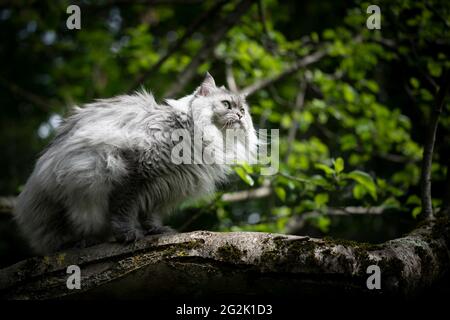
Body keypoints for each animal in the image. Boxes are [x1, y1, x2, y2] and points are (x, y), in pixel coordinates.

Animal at [14, 74, 258, 254]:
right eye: (226, 104)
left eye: (242, 111)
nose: (239, 116)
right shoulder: (135, 173)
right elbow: (125, 209)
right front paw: (128, 233)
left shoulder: (162, 188)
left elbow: (150, 214)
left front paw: (157, 230)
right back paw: (82, 242)